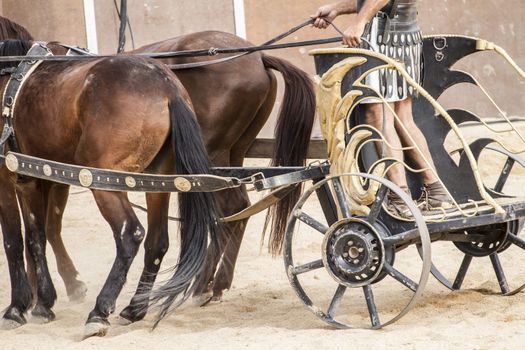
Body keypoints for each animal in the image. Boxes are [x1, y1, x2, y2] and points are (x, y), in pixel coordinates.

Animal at [0, 38, 220, 336]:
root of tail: (167, 87)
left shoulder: (9, 178)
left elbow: (16, 240)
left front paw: (18, 307)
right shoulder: (34, 178)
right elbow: (38, 237)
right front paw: (42, 303)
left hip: (103, 182)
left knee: (130, 233)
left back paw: (99, 311)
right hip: (157, 181)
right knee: (157, 241)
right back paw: (134, 308)